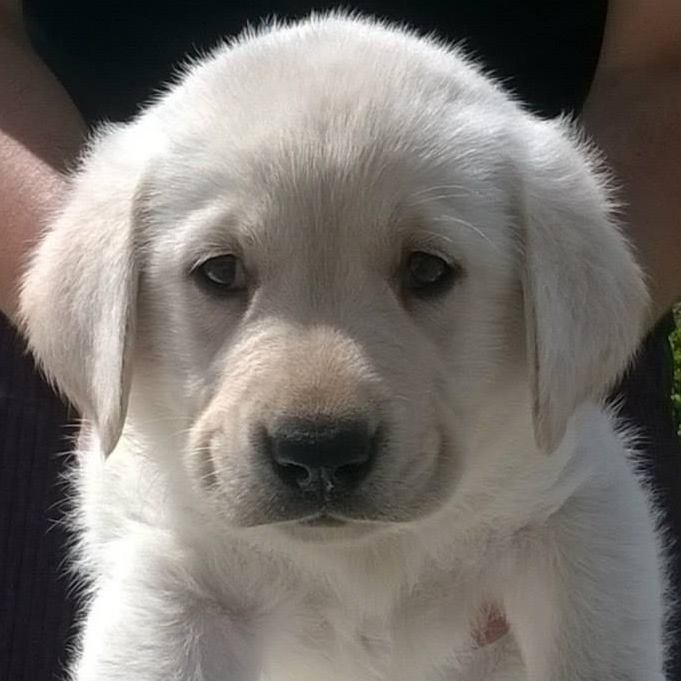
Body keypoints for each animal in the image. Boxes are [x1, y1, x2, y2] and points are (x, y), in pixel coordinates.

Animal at [19, 10, 664, 680]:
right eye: (220, 272)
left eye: (428, 270)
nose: (320, 452)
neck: (356, 561)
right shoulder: (170, 574)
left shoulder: (578, 513)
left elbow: (594, 646)